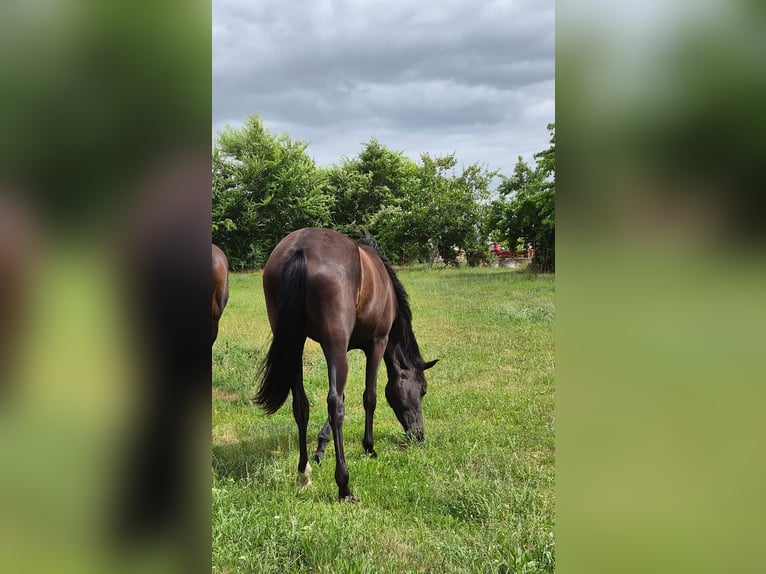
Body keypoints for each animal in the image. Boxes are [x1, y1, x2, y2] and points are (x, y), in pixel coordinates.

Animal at [254, 228, 437, 502]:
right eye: (423, 390)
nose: (418, 435)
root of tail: (300, 248)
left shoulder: (342, 347)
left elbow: (343, 395)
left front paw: (320, 447)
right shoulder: (376, 343)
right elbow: (368, 397)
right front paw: (369, 447)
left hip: (294, 345)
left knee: (301, 405)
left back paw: (303, 473)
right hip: (333, 344)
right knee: (335, 404)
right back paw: (344, 485)